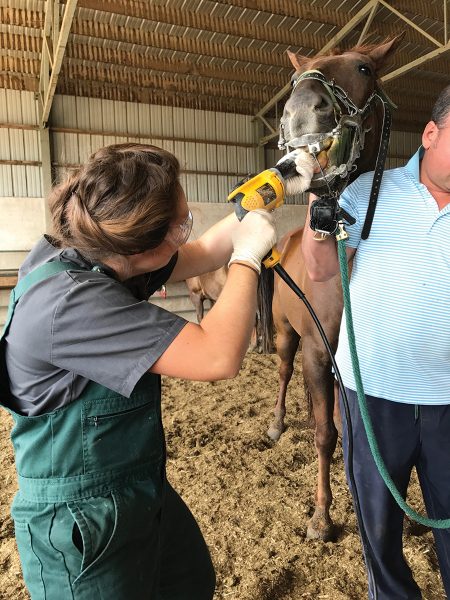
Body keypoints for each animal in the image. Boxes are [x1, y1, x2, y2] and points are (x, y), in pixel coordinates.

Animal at [260, 38, 404, 544]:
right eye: (294, 78)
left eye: (364, 67)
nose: (302, 112)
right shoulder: (319, 353)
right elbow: (327, 433)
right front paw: (322, 517)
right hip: (287, 336)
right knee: (286, 374)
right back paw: (278, 425)